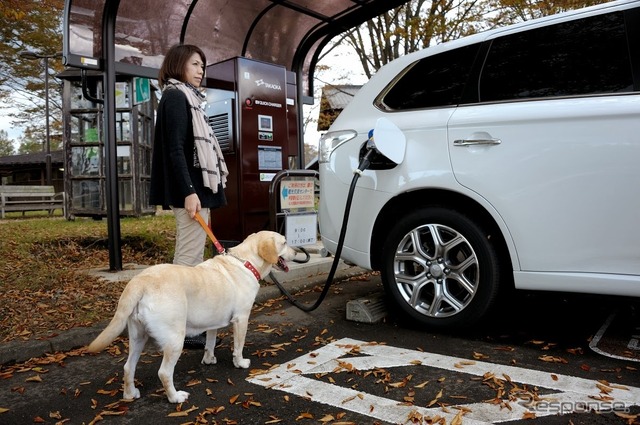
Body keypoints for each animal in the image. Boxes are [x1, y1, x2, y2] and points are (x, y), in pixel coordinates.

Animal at [86, 230, 296, 402]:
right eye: (284, 242)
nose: (297, 252)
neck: (246, 262)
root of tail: (141, 280)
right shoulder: (241, 318)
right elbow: (238, 346)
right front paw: (240, 363)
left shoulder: (212, 323)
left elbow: (210, 342)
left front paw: (209, 359)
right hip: (175, 339)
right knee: (164, 372)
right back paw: (175, 397)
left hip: (138, 336)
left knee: (128, 367)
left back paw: (130, 394)